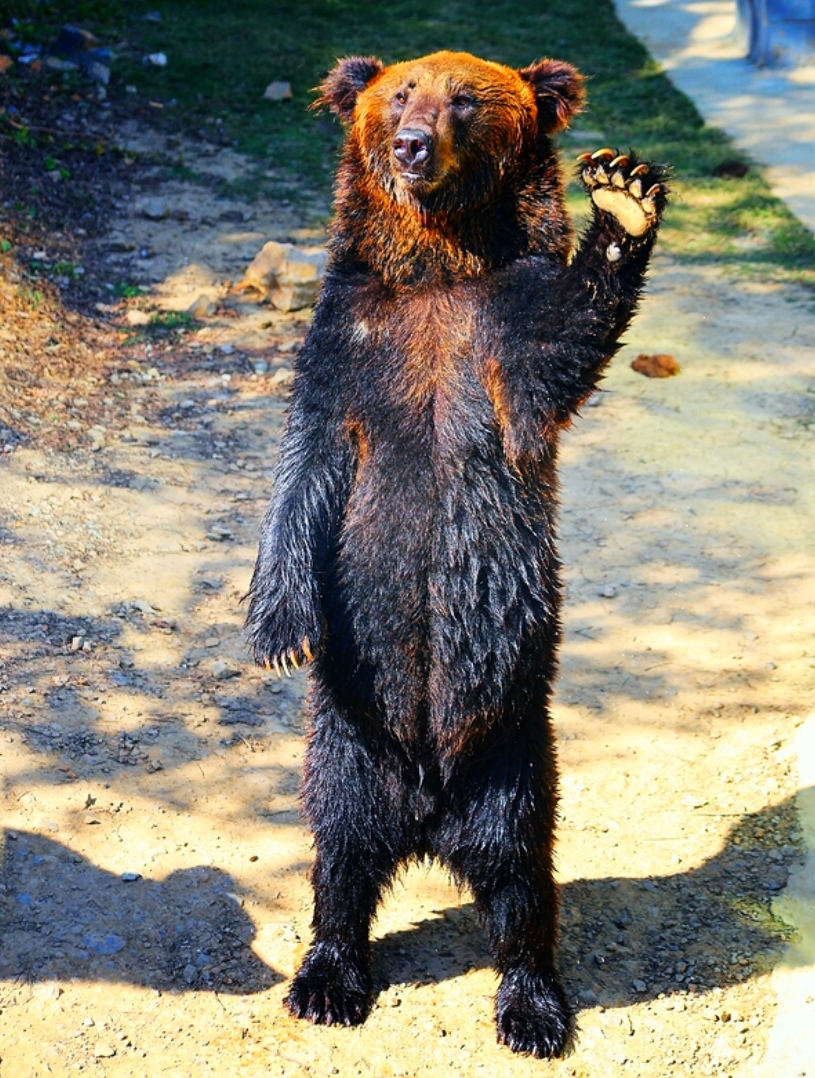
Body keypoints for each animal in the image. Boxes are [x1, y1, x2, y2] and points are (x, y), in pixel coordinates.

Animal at [247, 48, 668, 1052]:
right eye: (400, 93)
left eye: (466, 101)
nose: (411, 143)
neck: (439, 269)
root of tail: (429, 814)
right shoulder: (352, 337)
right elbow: (306, 462)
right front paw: (277, 627)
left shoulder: (503, 335)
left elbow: (565, 345)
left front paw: (623, 193)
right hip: (352, 731)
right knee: (339, 850)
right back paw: (326, 978)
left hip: (513, 746)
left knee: (521, 877)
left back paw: (532, 1006)